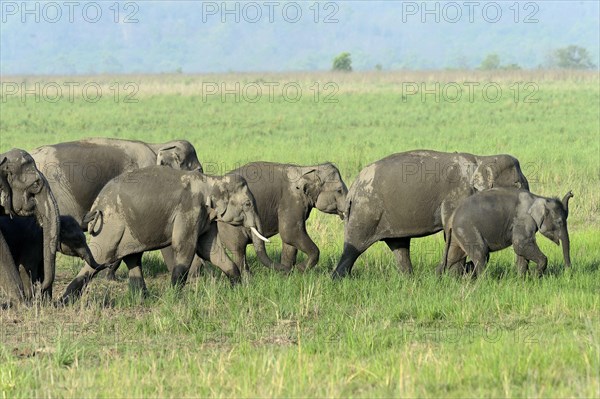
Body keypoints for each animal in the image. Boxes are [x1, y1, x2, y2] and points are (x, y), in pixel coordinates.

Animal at [60, 166, 268, 304]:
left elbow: (210, 251)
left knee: (133, 258)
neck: (211, 180)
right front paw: (174, 298)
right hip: (111, 225)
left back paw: (143, 299)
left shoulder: (206, 217)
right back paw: (63, 301)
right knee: (100, 257)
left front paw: (237, 287)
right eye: (248, 204)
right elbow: (184, 246)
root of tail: (97, 204)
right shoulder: (189, 209)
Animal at [332, 150, 528, 278]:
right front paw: (454, 277)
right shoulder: (458, 194)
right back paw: (339, 279)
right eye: (517, 185)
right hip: (366, 210)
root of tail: (354, 186)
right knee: (354, 247)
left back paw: (409, 280)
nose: (522, 279)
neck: (481, 159)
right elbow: (453, 233)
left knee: (399, 246)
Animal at [438, 188, 576, 276]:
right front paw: (535, 276)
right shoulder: (523, 218)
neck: (539, 198)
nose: (568, 273)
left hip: (458, 233)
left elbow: (521, 251)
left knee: (453, 257)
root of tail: (451, 218)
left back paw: (450, 279)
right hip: (467, 229)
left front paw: (523, 280)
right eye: (559, 222)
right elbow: (521, 244)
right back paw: (483, 282)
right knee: (481, 254)